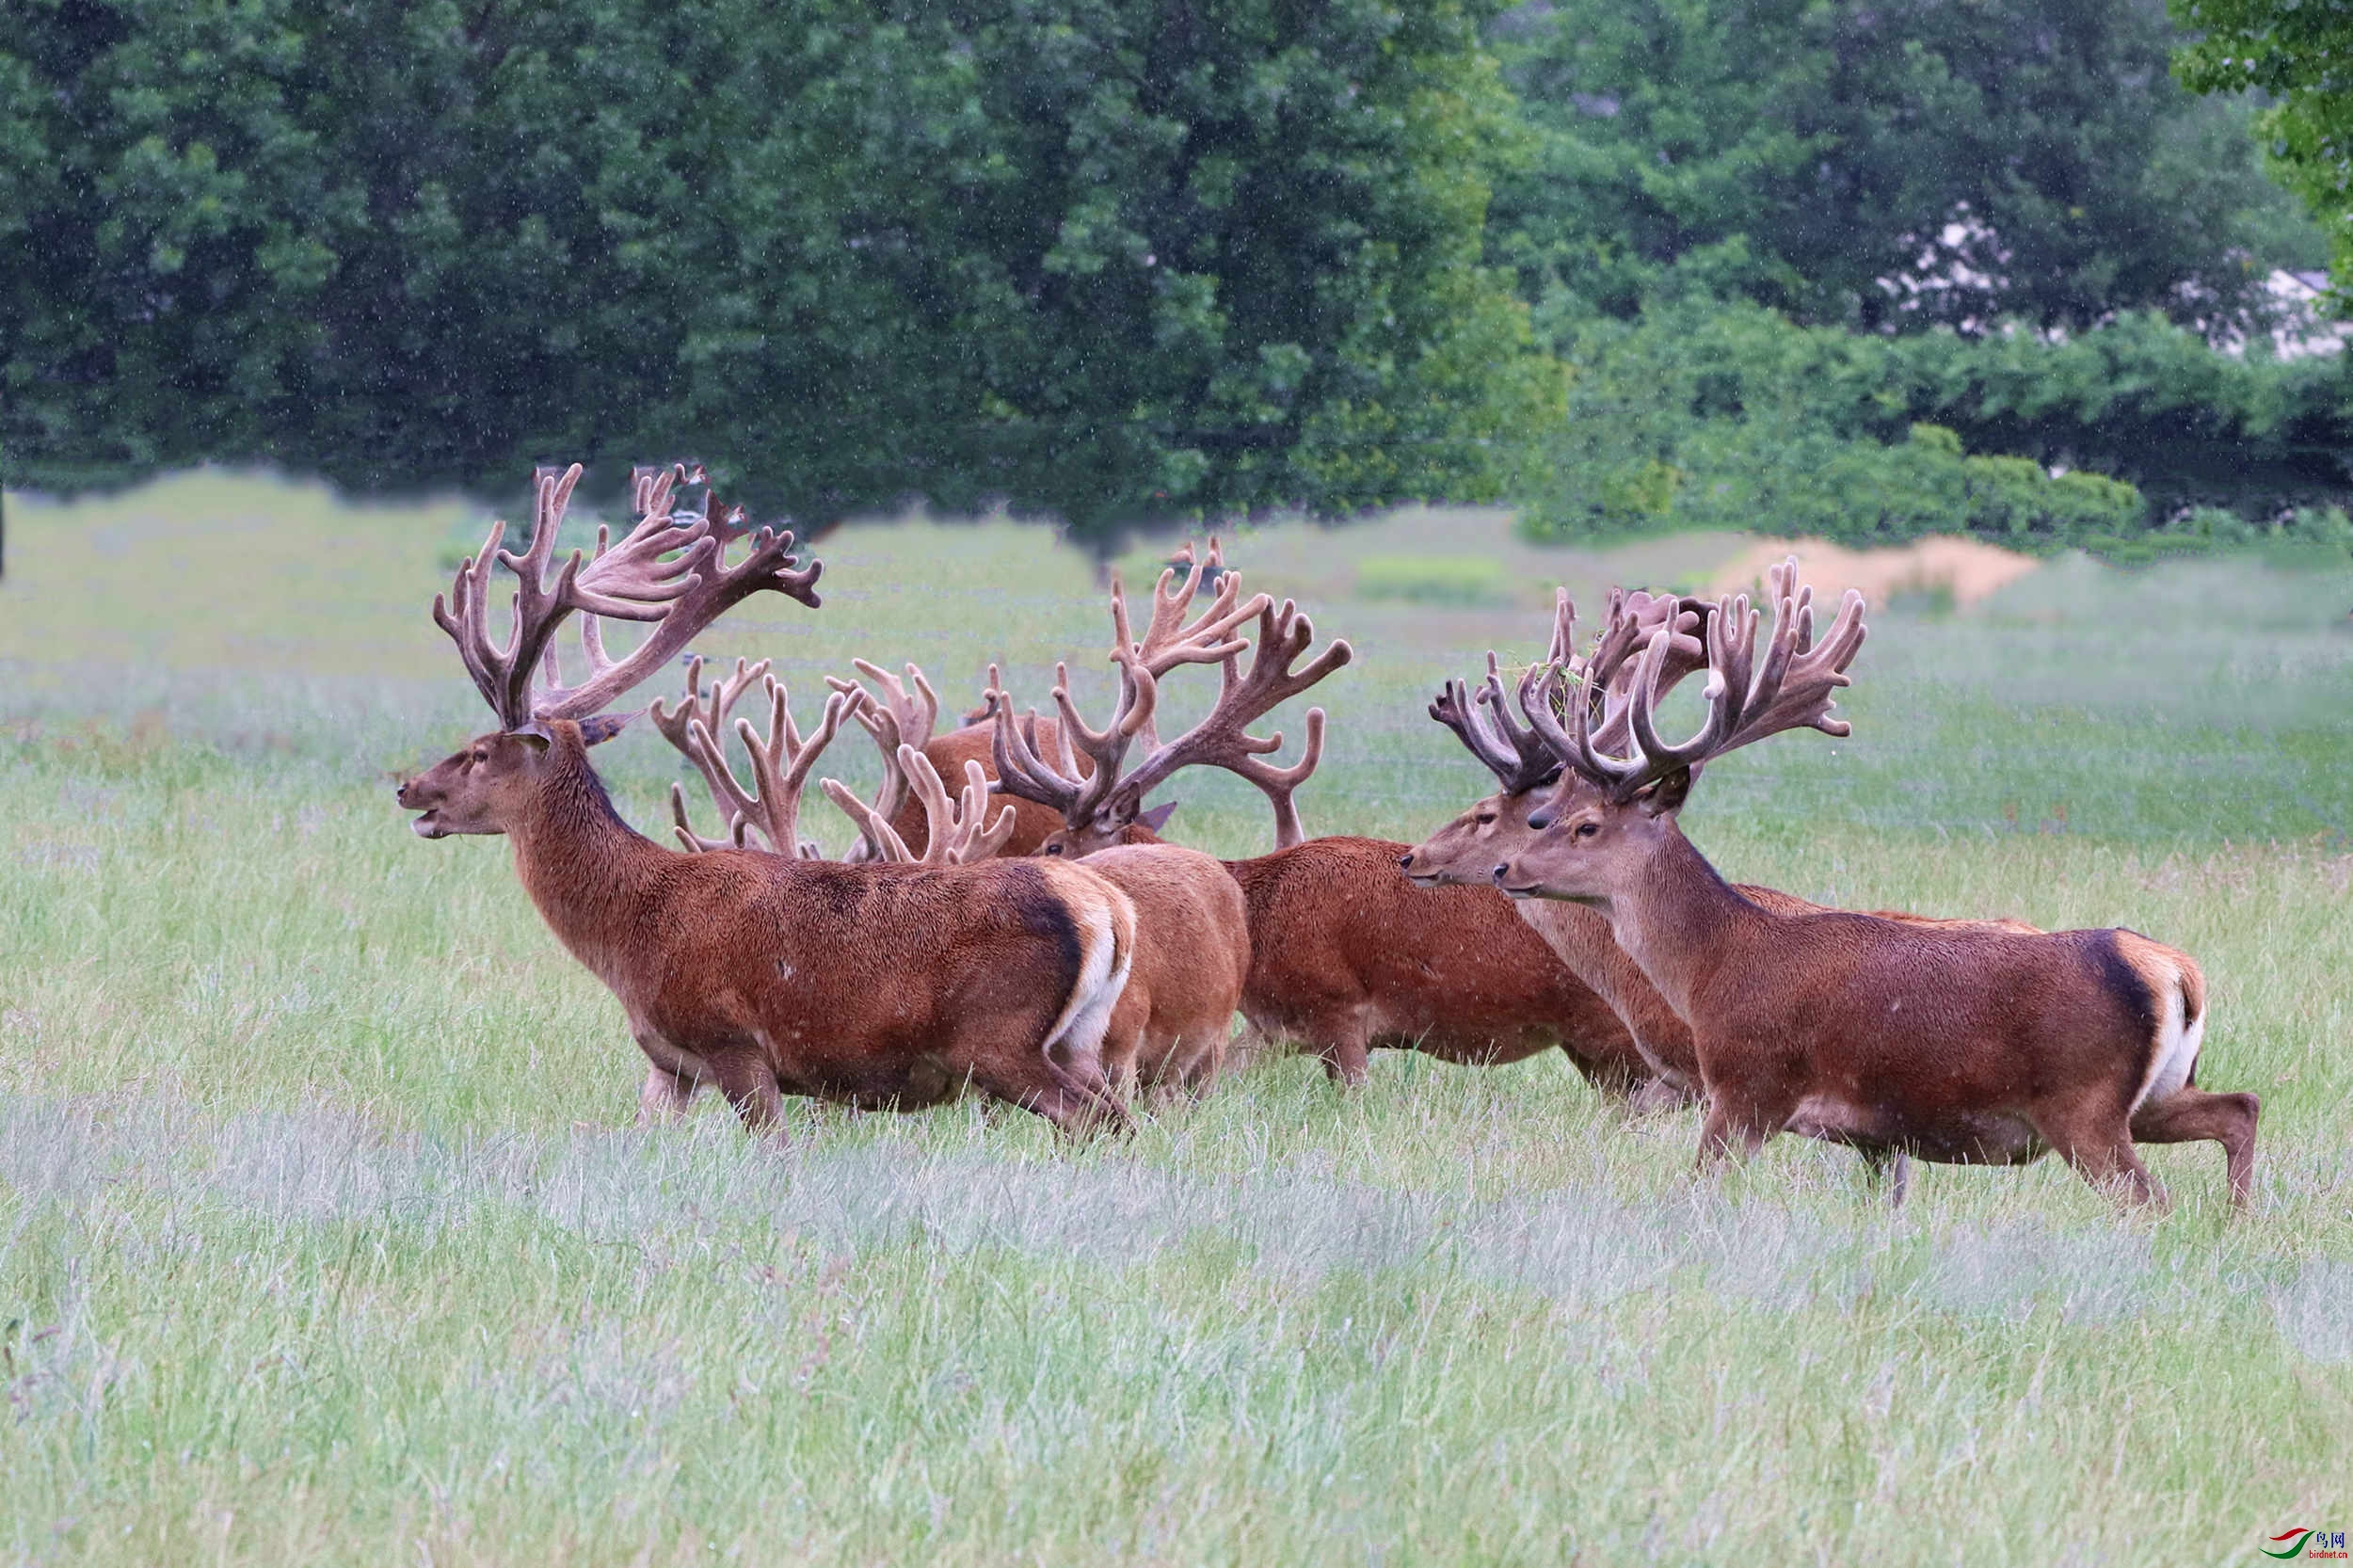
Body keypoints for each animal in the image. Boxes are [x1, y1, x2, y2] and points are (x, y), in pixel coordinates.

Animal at [395, 463, 1139, 1134]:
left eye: (480, 752)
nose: (408, 787)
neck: (631, 929)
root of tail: (1108, 911)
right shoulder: (669, 1062)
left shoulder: (734, 1042)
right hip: (1081, 1040)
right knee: (1122, 1119)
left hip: (1000, 1040)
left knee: (1097, 1121)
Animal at [1497, 562, 2249, 1205]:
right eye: (1546, 815)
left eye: (1586, 825)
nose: (1507, 869)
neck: (1713, 967)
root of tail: (2173, 969)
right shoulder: (1876, 1134)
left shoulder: (1748, 1084)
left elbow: (1699, 1182)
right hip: (2154, 1096)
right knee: (2240, 1108)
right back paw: (2239, 1218)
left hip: (2082, 1104)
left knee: (2150, 1197)